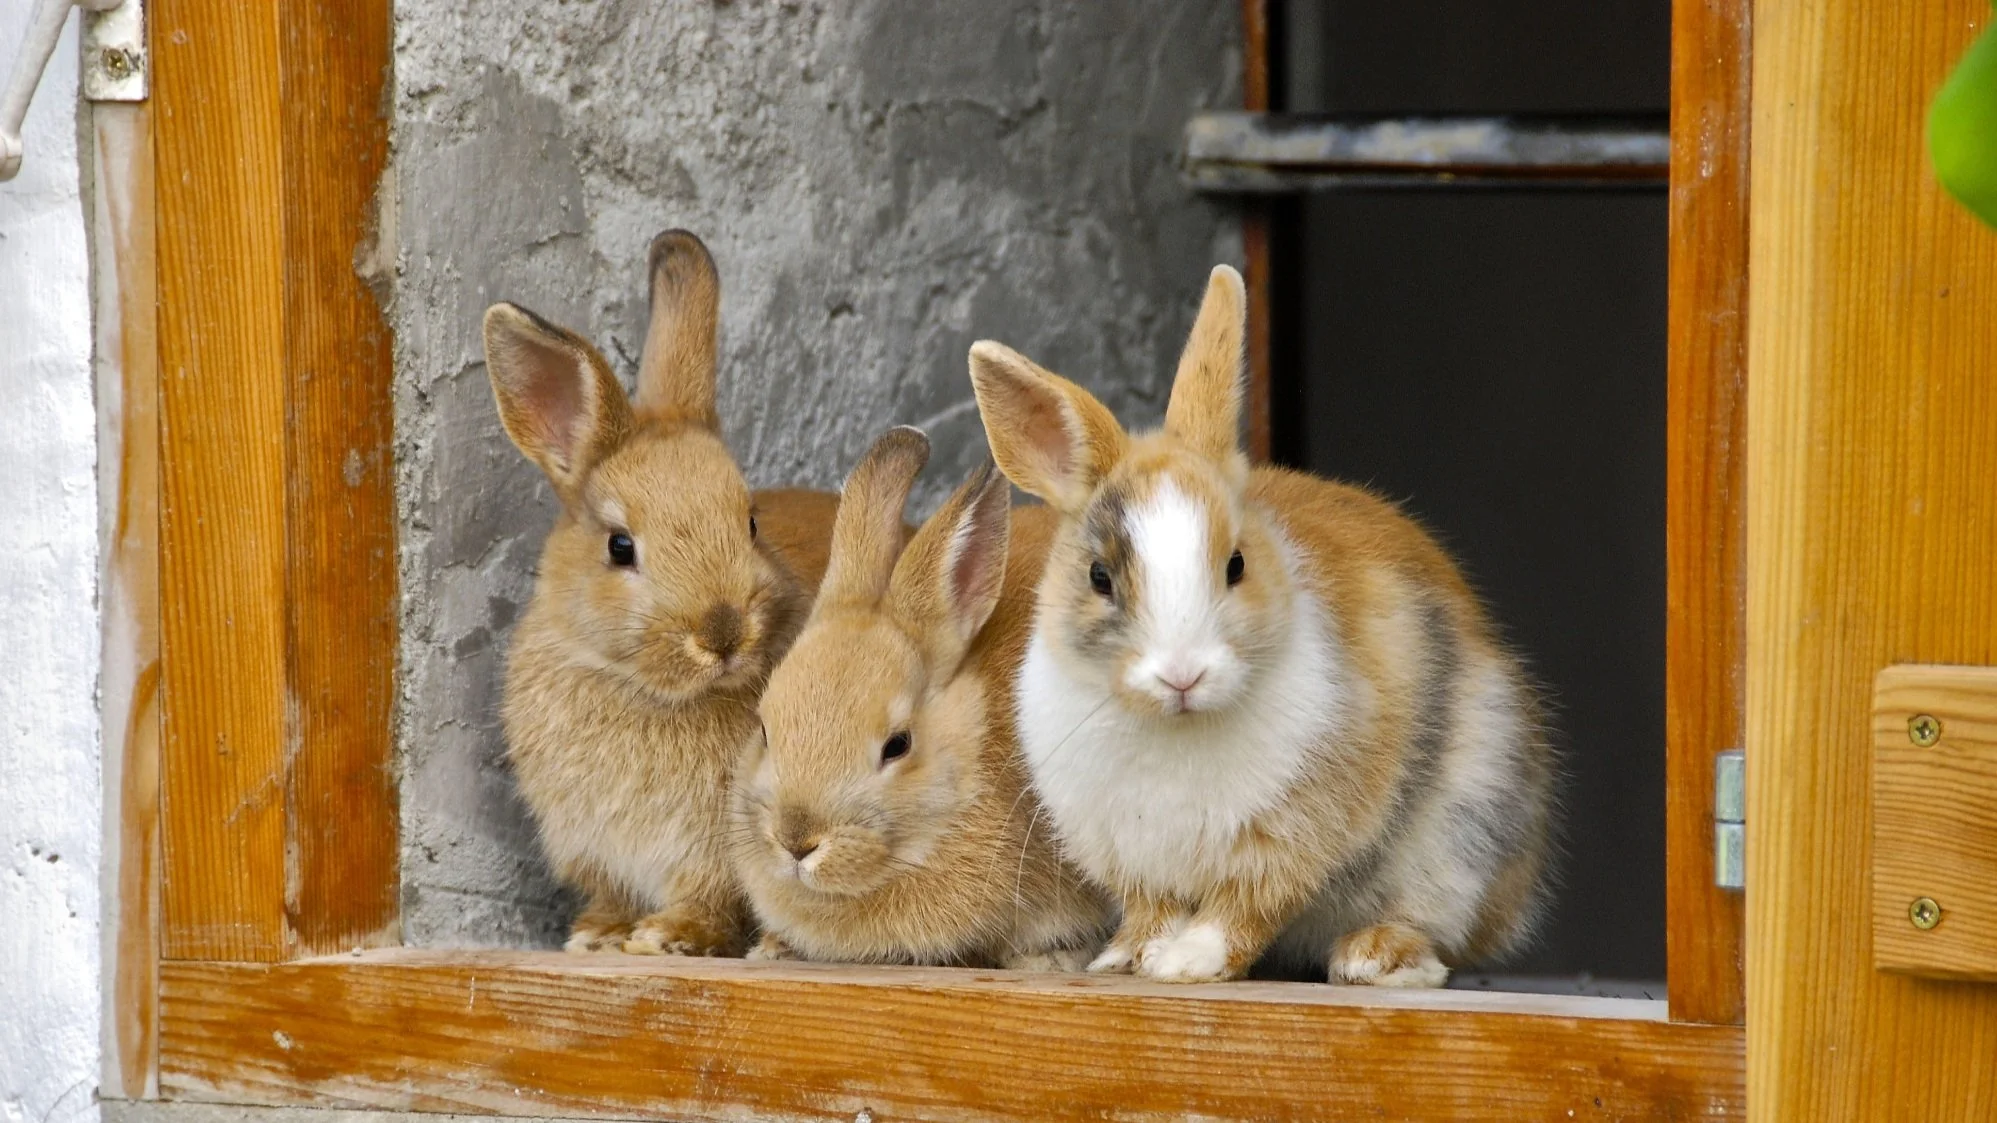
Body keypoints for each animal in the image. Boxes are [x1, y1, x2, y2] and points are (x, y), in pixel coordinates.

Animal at [484, 229, 840, 956]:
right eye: (620, 547)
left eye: (750, 521)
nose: (723, 632)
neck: (643, 689)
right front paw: (598, 934)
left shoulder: (716, 852)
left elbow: (709, 897)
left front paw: (668, 937)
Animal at [965, 264, 1556, 987]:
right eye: (1099, 577)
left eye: (1236, 564)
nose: (1182, 674)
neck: (1175, 728)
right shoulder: (1128, 853)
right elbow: (1152, 908)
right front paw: (1127, 958)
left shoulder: (1288, 833)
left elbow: (1244, 904)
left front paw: (1187, 962)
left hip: (1464, 833)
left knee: (1436, 931)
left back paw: (1373, 957)